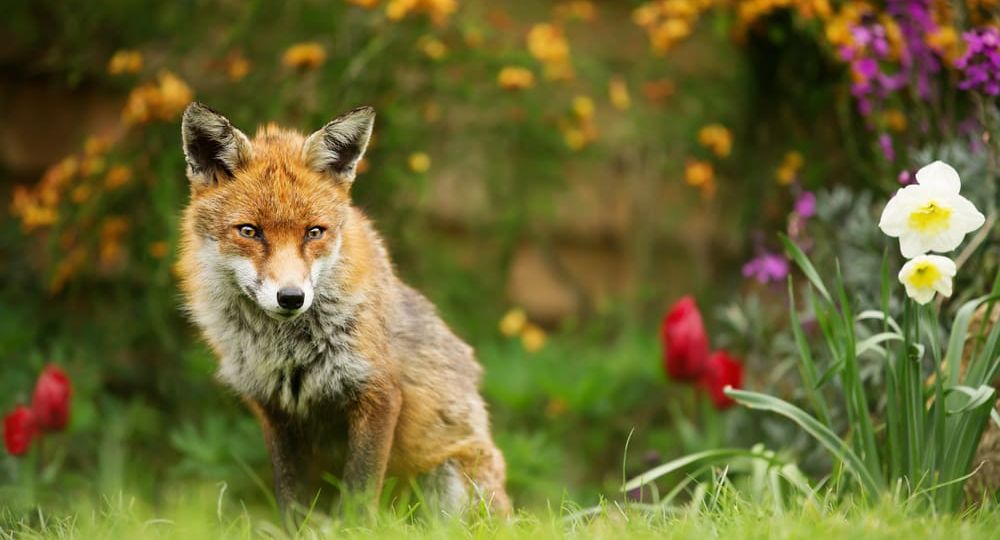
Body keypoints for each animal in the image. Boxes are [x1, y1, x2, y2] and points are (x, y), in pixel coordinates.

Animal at [175, 102, 511, 516]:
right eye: (249, 231)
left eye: (314, 232)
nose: (291, 297)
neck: (287, 351)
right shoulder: (275, 408)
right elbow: (291, 503)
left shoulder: (378, 392)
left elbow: (360, 496)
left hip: (449, 480)